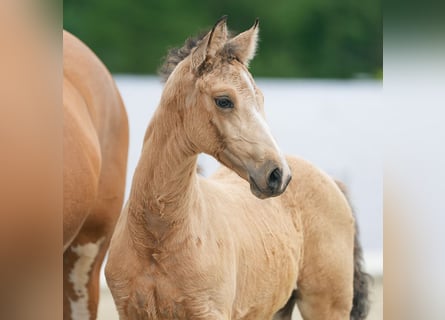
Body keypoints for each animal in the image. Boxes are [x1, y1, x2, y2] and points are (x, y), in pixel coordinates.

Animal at [105, 17, 368, 320]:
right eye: (224, 100)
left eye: (261, 99)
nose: (278, 175)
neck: (156, 238)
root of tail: (332, 182)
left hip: (326, 305)